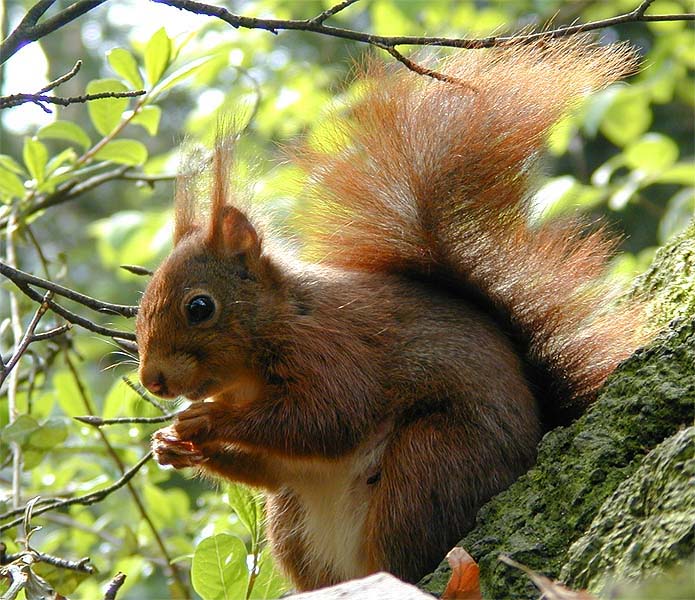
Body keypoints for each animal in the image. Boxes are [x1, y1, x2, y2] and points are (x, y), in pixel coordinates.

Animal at [136, 37, 649, 591]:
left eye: (200, 307)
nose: (152, 381)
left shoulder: (333, 348)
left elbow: (327, 418)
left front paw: (207, 420)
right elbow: (272, 468)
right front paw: (171, 445)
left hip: (428, 468)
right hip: (293, 524)